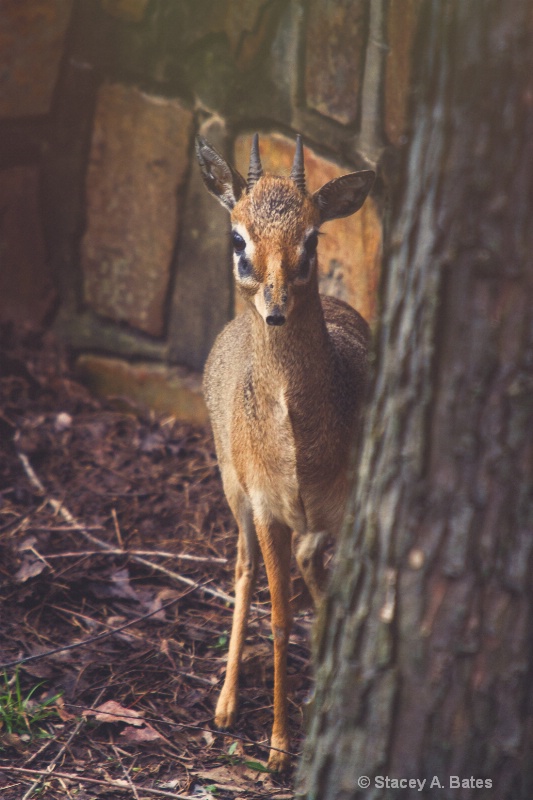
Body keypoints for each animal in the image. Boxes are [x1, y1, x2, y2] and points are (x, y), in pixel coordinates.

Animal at [195, 134, 374, 772]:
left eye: (314, 237)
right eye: (237, 238)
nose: (274, 307)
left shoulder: (347, 510)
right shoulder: (269, 508)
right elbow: (278, 619)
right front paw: (276, 748)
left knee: (308, 565)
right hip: (233, 491)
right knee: (244, 569)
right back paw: (224, 707)